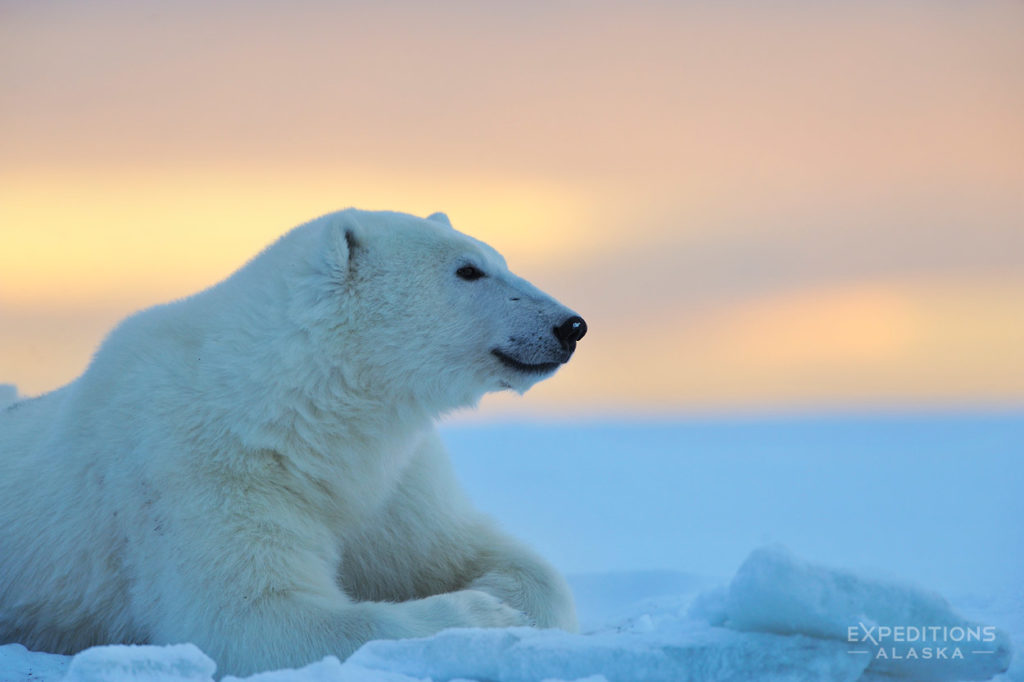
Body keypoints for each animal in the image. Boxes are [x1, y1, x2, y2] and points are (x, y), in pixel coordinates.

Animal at [0, 208, 589, 675]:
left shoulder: (394, 480)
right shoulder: (203, 468)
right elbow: (253, 617)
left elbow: (466, 550)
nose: (571, 325)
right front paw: (482, 616)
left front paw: (501, 594)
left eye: (499, 258)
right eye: (467, 270)